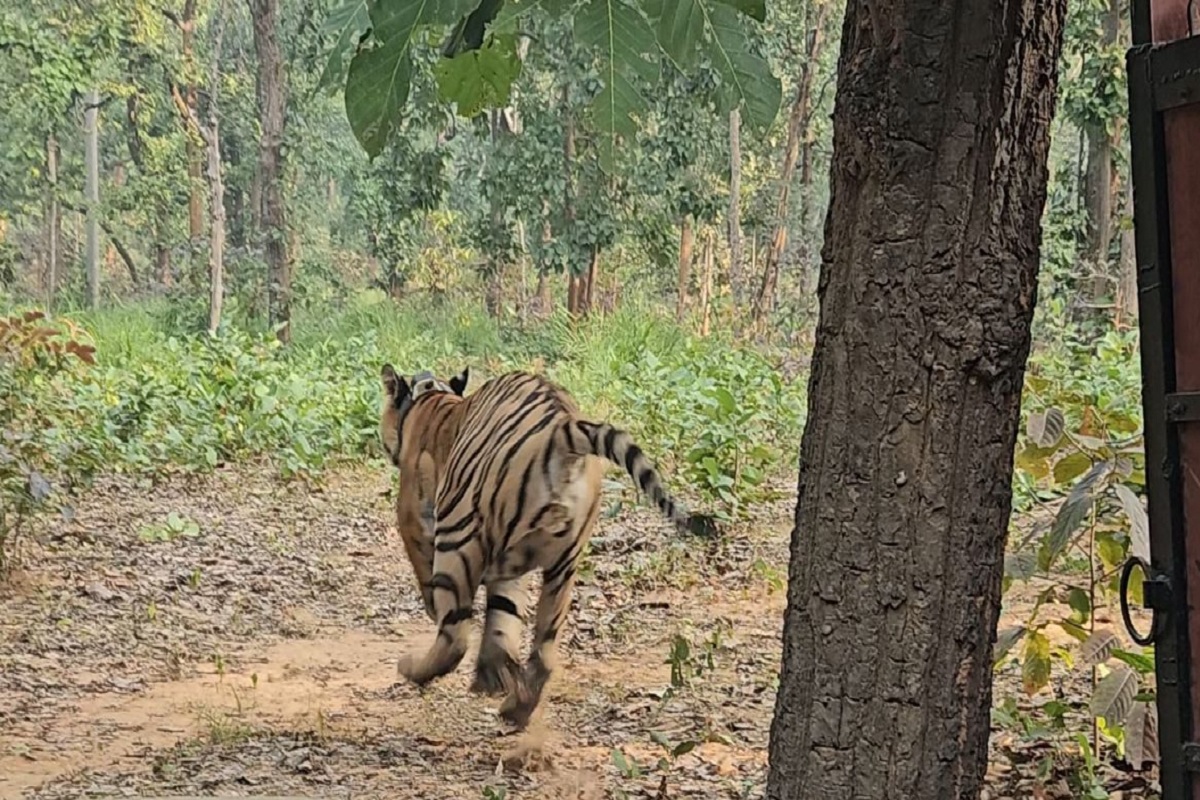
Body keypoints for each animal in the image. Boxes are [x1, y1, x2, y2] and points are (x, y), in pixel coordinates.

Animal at [379, 367, 705, 729]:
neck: (431, 398)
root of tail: (562, 431)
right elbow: (504, 617)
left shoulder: (413, 517)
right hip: (563, 565)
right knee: (543, 651)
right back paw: (513, 706)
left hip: (457, 534)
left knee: (455, 639)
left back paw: (413, 668)